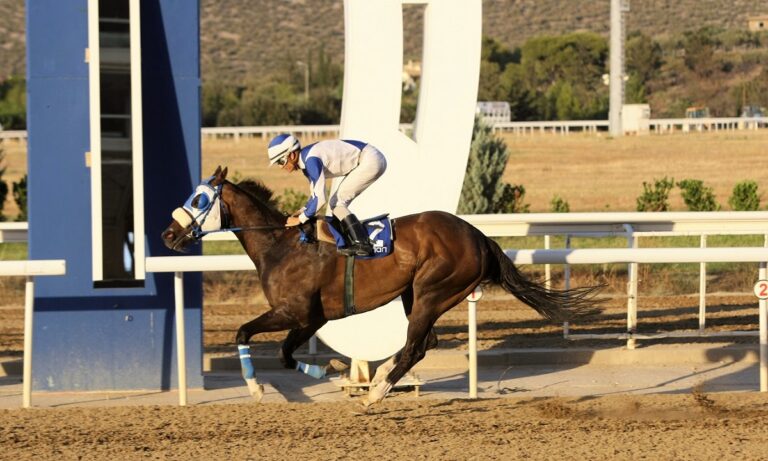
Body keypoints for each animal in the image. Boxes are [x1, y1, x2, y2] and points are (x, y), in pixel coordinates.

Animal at [164, 166, 608, 406]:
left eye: (199, 199)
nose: (169, 234)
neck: (282, 245)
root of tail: (479, 236)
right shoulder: (310, 319)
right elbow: (285, 354)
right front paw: (332, 369)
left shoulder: (297, 313)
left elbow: (253, 336)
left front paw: (262, 388)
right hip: (417, 294)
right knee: (423, 343)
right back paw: (379, 382)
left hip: (433, 290)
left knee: (415, 346)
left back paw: (375, 394)